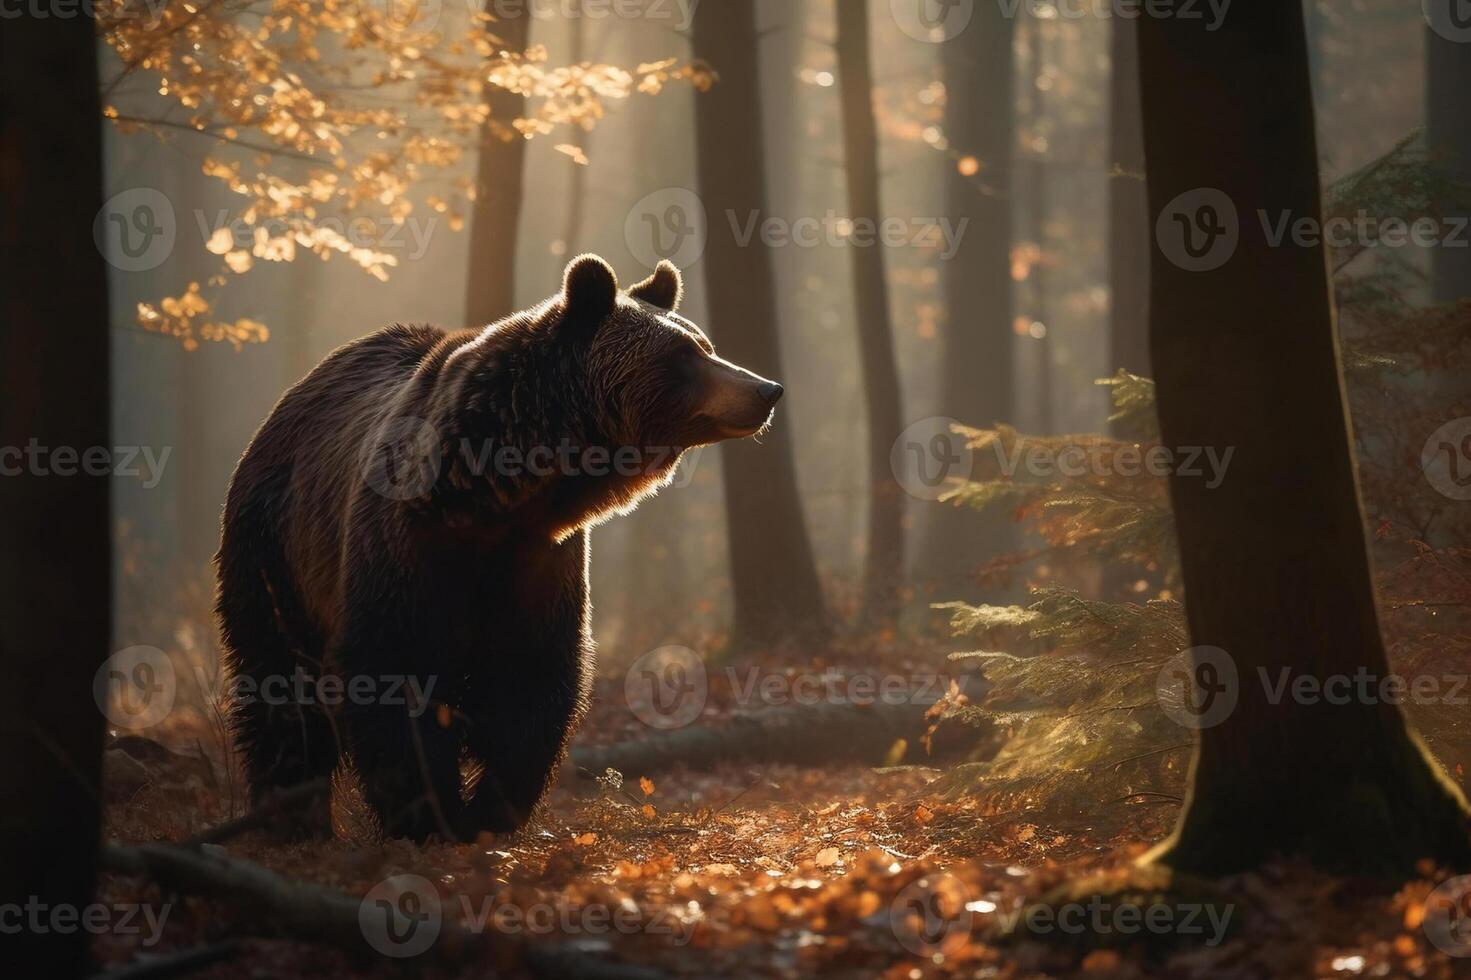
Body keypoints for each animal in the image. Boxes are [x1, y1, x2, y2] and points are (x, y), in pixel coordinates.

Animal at [214, 256, 782, 835]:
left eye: (704, 343)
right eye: (685, 354)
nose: (767, 389)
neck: (495, 493)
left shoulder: (539, 558)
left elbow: (532, 679)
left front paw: (491, 810)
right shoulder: (405, 547)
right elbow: (395, 670)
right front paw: (426, 814)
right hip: (273, 546)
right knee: (278, 682)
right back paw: (290, 815)